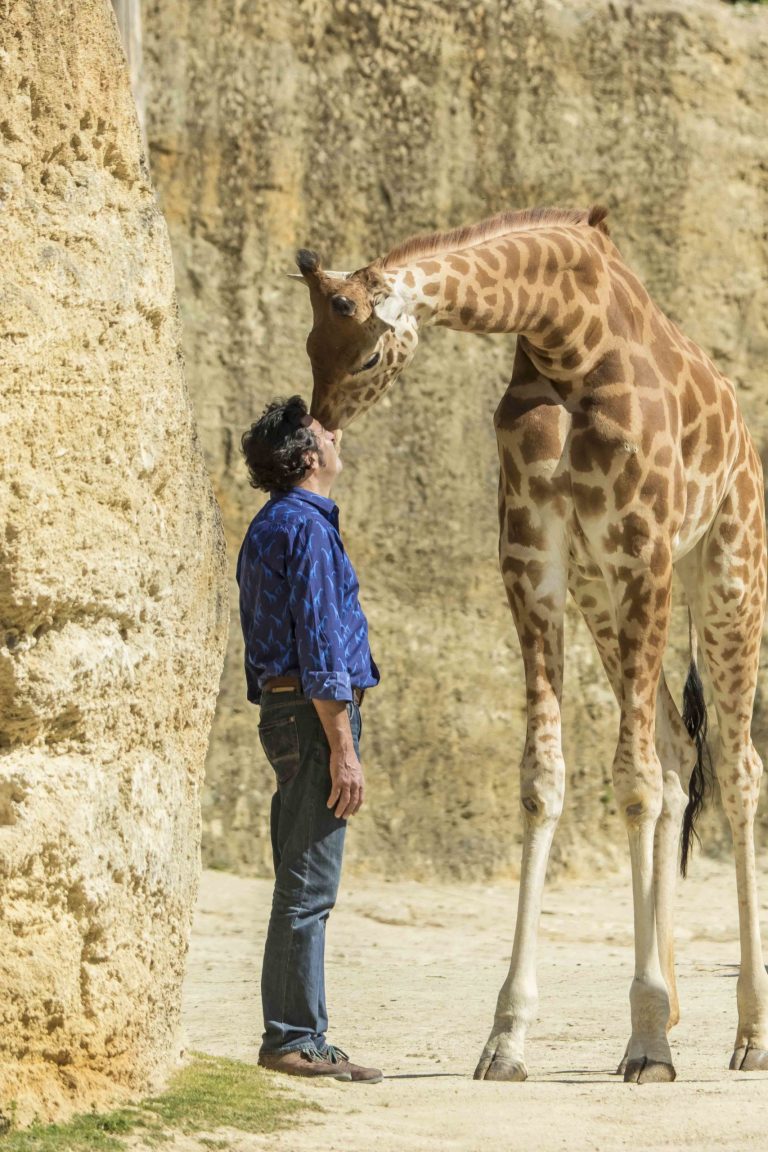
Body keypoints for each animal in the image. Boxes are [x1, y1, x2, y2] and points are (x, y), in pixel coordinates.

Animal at [292, 205, 768, 1078]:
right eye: (311, 344)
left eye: (367, 350)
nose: (322, 429)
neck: (564, 335)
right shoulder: (534, 558)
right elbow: (546, 779)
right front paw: (510, 1035)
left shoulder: (643, 549)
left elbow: (630, 783)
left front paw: (647, 1042)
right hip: (602, 593)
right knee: (677, 752)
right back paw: (678, 1009)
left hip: (725, 569)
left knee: (737, 765)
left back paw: (749, 1034)